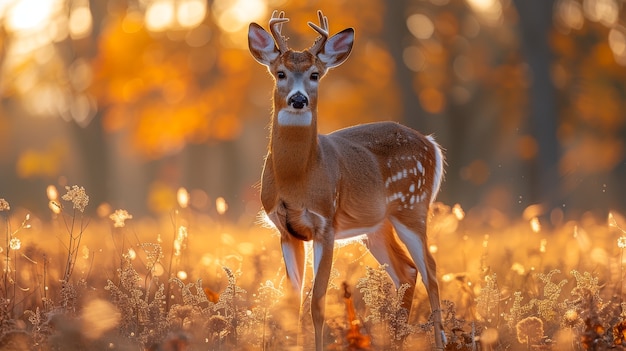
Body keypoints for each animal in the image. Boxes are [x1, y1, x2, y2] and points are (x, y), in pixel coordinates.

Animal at [246, 9, 446, 350]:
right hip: (377, 226)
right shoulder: (285, 230)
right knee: (406, 272)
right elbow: (292, 300)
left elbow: (318, 302)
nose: (298, 100)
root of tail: (432, 143)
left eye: (315, 74)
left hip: (413, 207)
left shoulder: (326, 223)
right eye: (280, 73)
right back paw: (395, 339)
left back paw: (441, 340)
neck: (296, 179)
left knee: (430, 271)